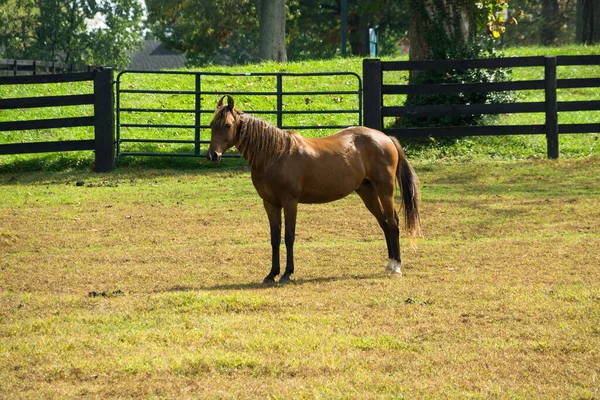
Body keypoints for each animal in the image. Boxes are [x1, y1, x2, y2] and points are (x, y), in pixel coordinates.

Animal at [209, 95, 420, 282]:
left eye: (227, 125)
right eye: (211, 125)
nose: (213, 155)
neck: (274, 155)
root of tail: (386, 138)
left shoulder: (290, 202)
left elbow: (289, 236)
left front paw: (287, 274)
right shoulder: (270, 204)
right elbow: (275, 239)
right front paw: (271, 274)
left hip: (385, 191)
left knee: (393, 223)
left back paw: (396, 267)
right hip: (367, 192)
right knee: (384, 223)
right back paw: (390, 264)